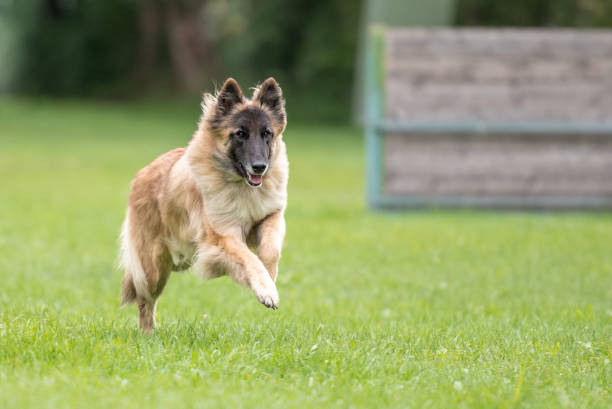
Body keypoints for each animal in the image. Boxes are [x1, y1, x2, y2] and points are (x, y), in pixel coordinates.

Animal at [121, 76, 290, 332]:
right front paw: (265, 290)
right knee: (145, 302)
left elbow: (269, 251)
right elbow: (249, 259)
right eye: (240, 133)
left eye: (266, 133)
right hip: (154, 268)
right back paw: (147, 334)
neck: (240, 185)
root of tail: (142, 173)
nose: (260, 167)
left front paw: (269, 278)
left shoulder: (271, 216)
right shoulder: (224, 235)